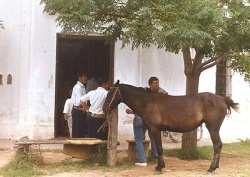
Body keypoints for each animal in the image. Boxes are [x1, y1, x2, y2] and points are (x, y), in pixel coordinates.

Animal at [102, 80, 239, 174]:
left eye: (110, 93)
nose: (104, 109)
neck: (147, 102)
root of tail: (222, 99)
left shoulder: (156, 130)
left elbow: (159, 148)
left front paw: (159, 167)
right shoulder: (152, 130)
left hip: (213, 128)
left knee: (217, 145)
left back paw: (211, 169)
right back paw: (214, 167)